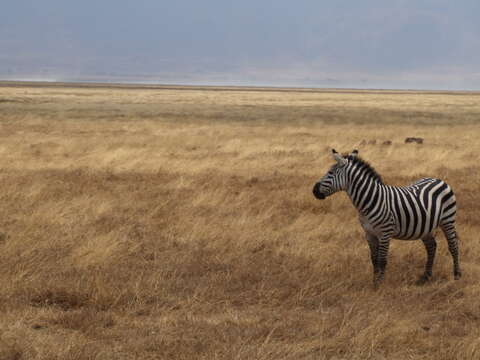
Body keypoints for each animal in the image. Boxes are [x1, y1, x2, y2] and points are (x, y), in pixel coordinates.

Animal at [312, 148, 462, 288]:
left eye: (330, 173)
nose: (314, 191)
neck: (371, 200)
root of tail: (439, 180)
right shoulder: (369, 234)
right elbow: (374, 259)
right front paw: (374, 282)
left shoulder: (384, 233)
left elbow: (382, 260)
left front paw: (379, 285)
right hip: (426, 226)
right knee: (431, 247)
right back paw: (425, 277)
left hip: (447, 220)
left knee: (453, 246)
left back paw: (457, 275)